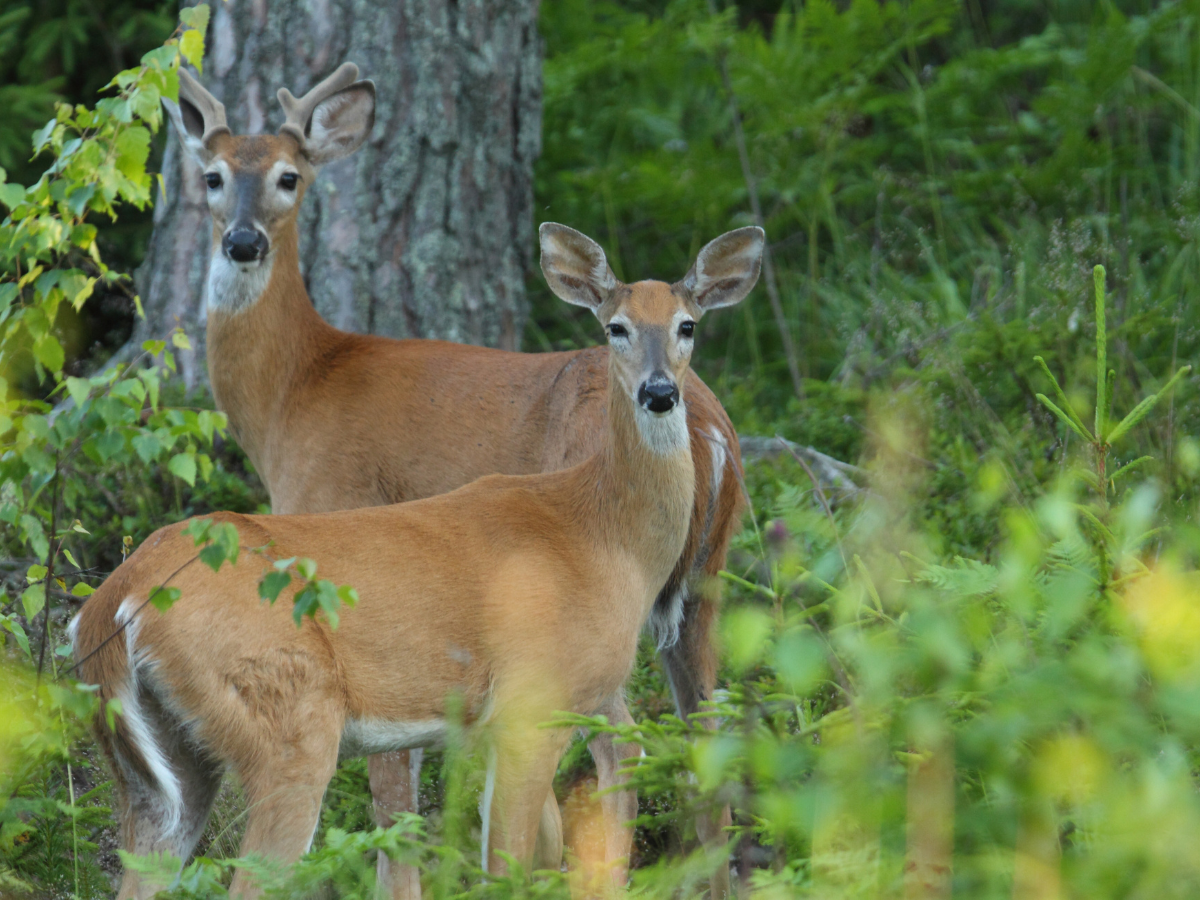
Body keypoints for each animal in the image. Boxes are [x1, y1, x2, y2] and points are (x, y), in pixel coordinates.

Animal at [159, 63, 748, 898]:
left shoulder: (330, 513)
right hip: (706, 585)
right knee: (709, 736)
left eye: (288, 177)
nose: (243, 241)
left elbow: (394, 784)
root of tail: (709, 427)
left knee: (619, 745)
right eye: (211, 175)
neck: (296, 389)